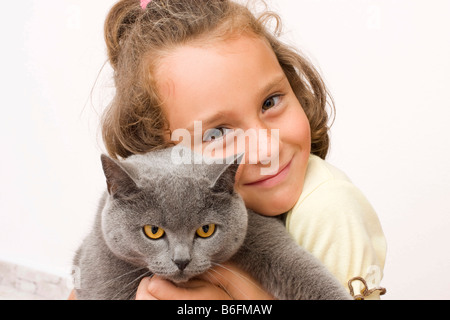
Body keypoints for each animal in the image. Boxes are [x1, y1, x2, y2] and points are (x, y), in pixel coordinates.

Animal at [73, 146, 352, 300]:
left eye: (205, 230)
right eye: (153, 231)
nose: (182, 261)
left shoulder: (255, 227)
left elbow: (296, 264)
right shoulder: (102, 270)